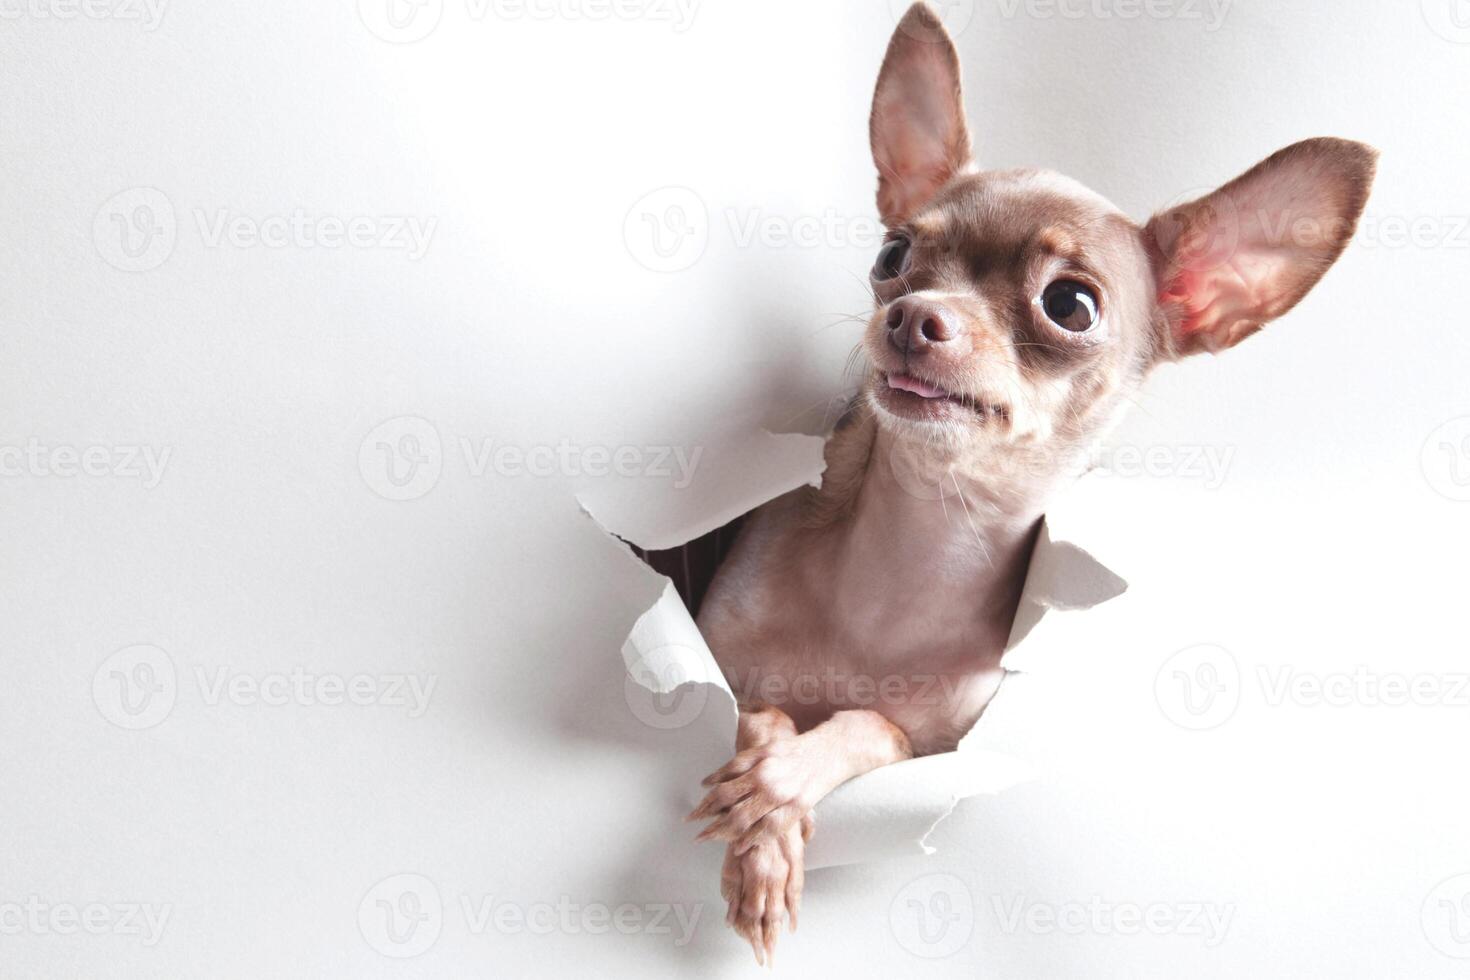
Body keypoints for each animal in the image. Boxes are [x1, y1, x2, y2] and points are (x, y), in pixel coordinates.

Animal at [682, 1, 1370, 963]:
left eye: (1070, 305)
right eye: (893, 253)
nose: (911, 316)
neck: (913, 552)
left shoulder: (938, 745)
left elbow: (870, 725)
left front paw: (784, 784)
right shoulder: (719, 658)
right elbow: (763, 712)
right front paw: (766, 818)